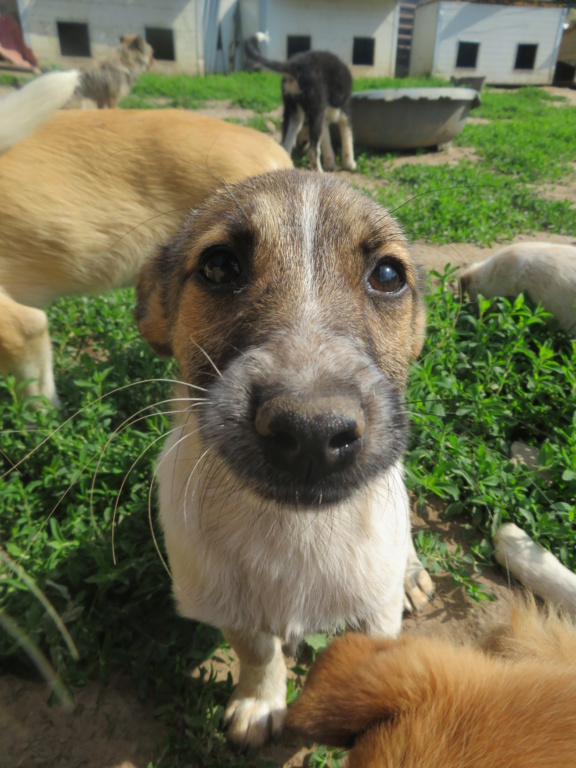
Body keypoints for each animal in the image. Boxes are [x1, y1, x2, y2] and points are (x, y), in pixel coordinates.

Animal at [136, 170, 432, 752]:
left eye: (388, 275)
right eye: (219, 266)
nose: (313, 433)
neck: (293, 529)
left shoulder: (374, 612)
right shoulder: (227, 603)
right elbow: (258, 652)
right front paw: (259, 703)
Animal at [244, 33, 356, 171]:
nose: (298, 147)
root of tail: (295, 65)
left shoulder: (323, 119)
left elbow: (326, 143)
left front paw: (330, 163)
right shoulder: (342, 112)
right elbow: (347, 138)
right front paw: (350, 163)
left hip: (293, 111)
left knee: (285, 146)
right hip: (316, 109)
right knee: (312, 151)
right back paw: (319, 171)